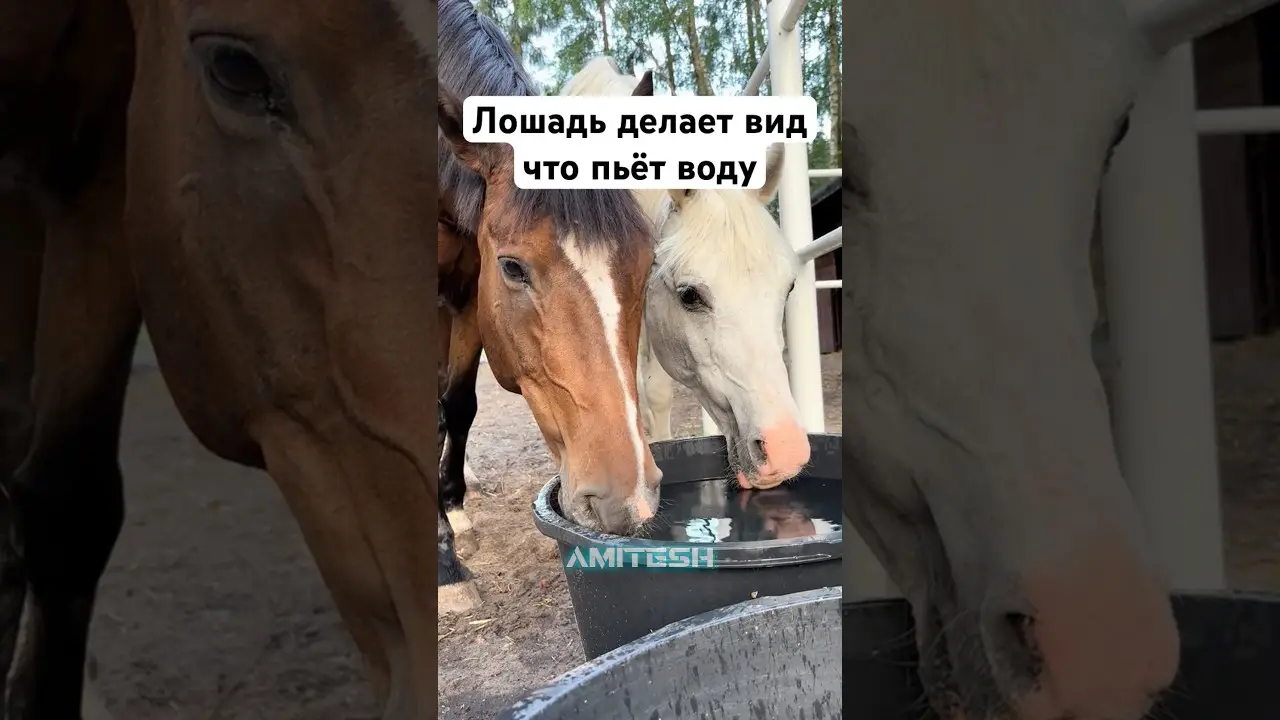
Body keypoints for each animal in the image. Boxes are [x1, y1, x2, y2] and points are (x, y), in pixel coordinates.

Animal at [435, 0, 661, 613]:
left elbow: (457, 406)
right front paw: (444, 565)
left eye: (648, 262)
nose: (630, 497)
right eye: (513, 267)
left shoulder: (468, 301)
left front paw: (450, 516)